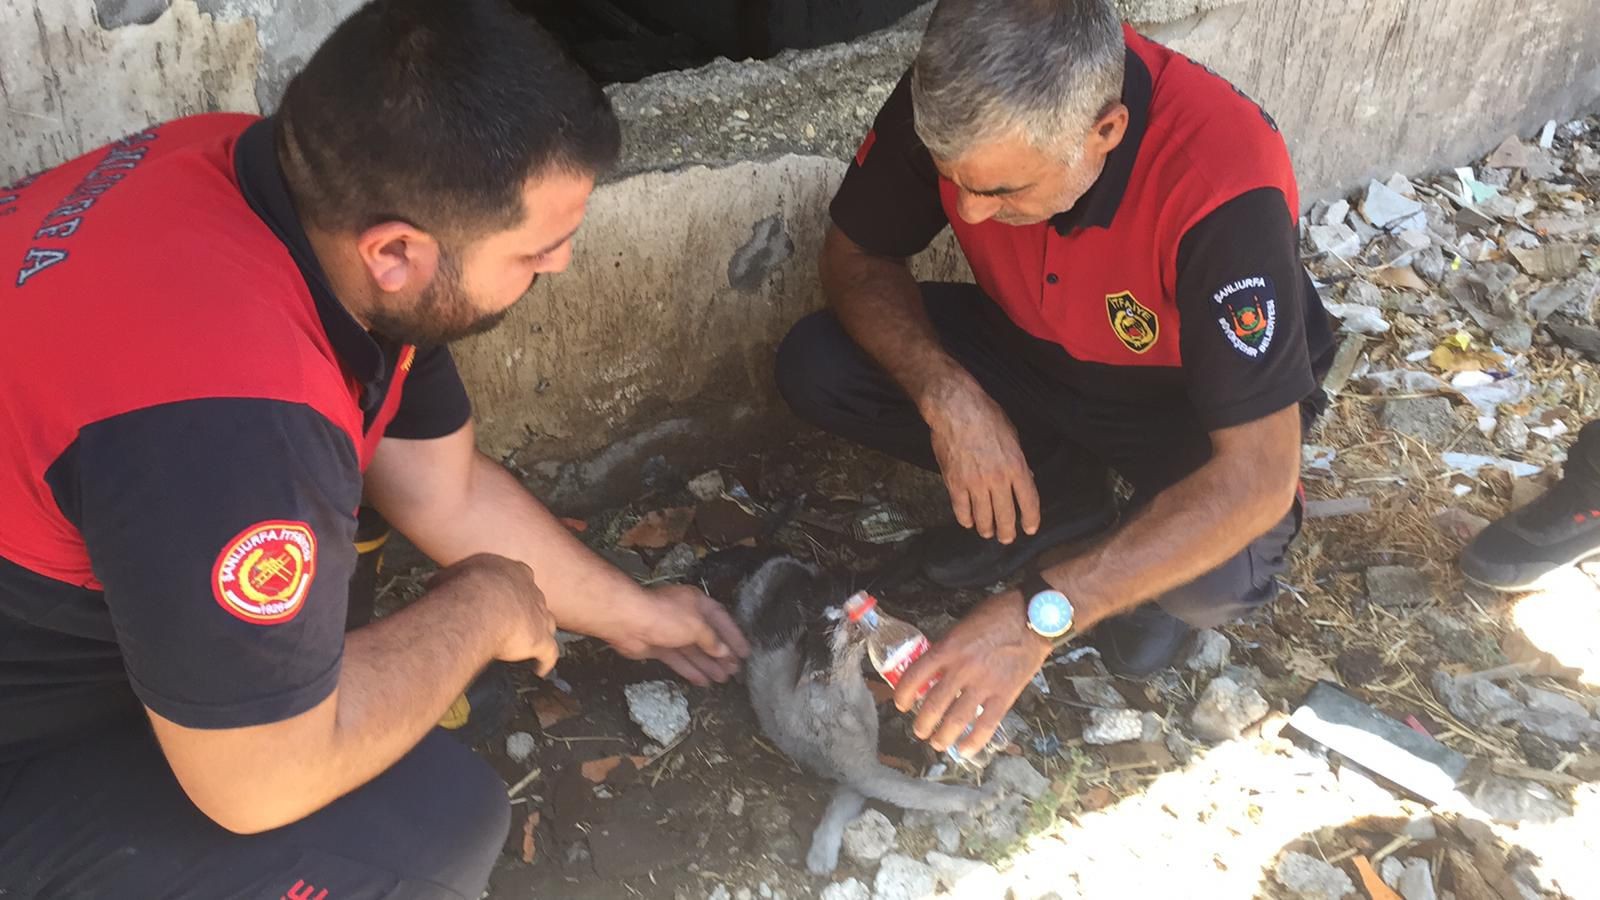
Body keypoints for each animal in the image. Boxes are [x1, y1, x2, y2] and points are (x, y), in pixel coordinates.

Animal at [732, 554, 992, 871]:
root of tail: (777, 560)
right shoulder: (864, 773)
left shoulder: (859, 774)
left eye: (835, 611)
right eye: (829, 628)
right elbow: (924, 792)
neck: (846, 693)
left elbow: (841, 807)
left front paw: (822, 854)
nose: (845, 607)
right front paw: (978, 799)